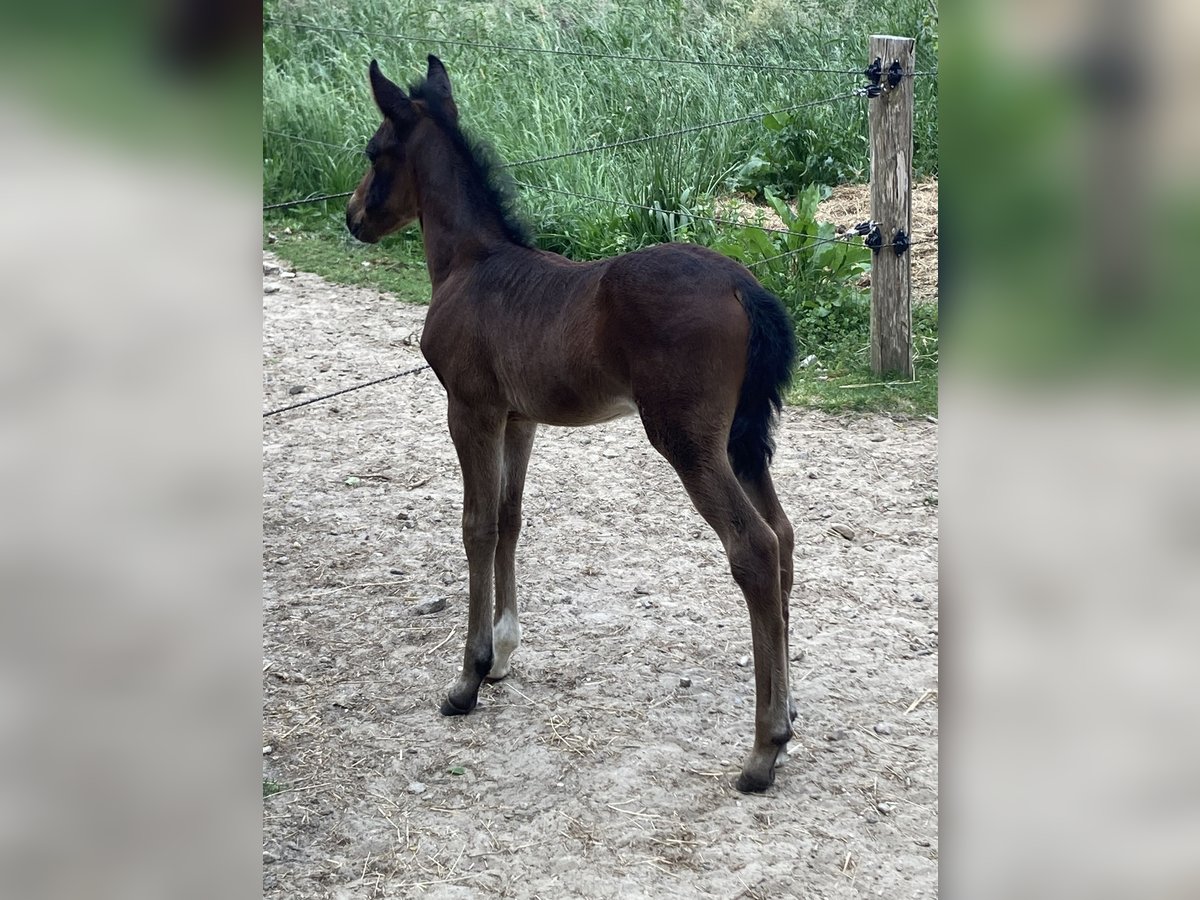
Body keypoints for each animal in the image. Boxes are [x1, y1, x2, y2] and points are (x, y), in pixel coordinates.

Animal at [348, 56, 796, 792]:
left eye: (374, 151)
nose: (353, 215)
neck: (471, 264)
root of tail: (744, 286)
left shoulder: (468, 408)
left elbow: (475, 525)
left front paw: (467, 679)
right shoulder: (519, 418)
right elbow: (509, 518)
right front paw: (503, 656)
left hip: (687, 439)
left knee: (754, 547)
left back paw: (764, 749)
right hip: (742, 439)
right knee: (783, 537)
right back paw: (788, 713)